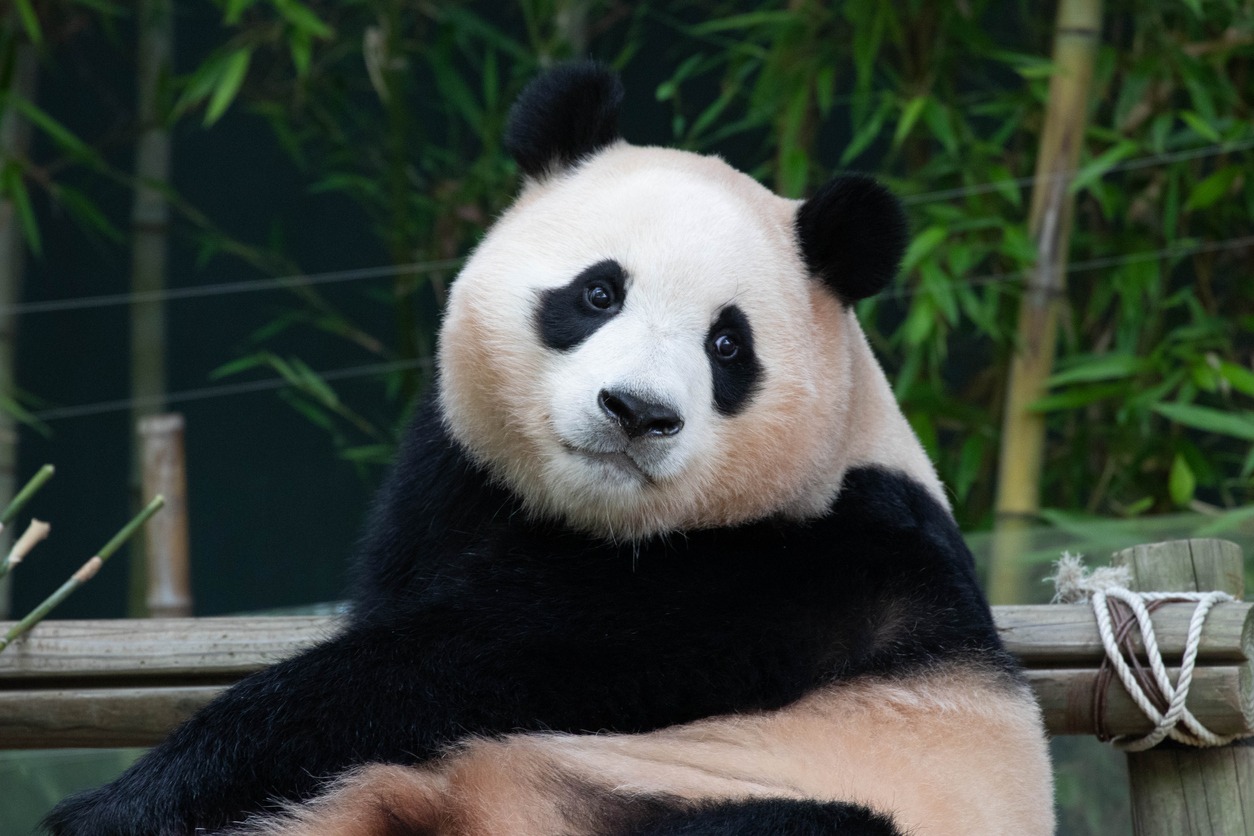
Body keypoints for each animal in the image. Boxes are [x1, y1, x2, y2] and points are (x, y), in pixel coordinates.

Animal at [45, 62, 1053, 836]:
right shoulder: (457, 481)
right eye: (599, 292)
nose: (638, 411)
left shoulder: (794, 570)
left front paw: (117, 806)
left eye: (728, 346)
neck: (599, 521)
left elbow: (446, 673)